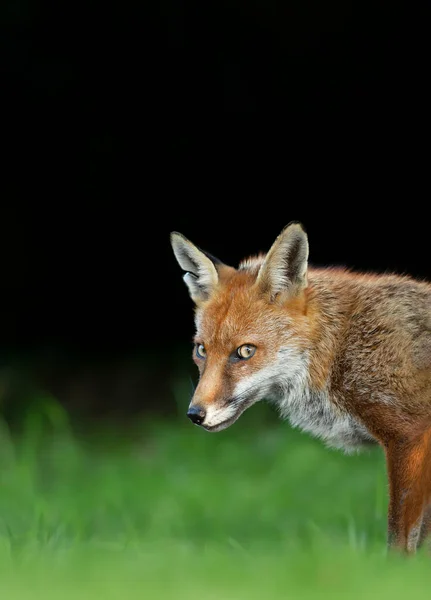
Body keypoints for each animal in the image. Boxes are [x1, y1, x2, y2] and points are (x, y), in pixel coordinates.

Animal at [170, 223, 430, 556]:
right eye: (201, 350)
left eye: (245, 351)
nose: (194, 414)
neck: (338, 347)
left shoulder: (409, 436)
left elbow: (400, 538)